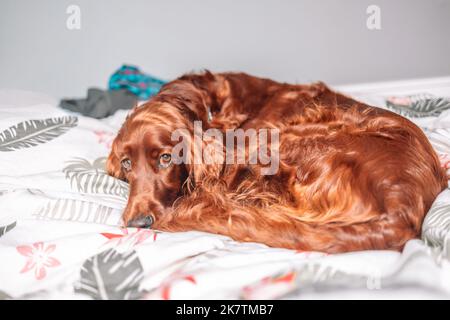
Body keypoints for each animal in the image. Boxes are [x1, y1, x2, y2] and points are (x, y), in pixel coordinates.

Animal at [106, 71, 446, 254]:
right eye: (126, 163)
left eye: (166, 158)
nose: (138, 223)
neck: (205, 105)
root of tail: (403, 206)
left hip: (283, 138)